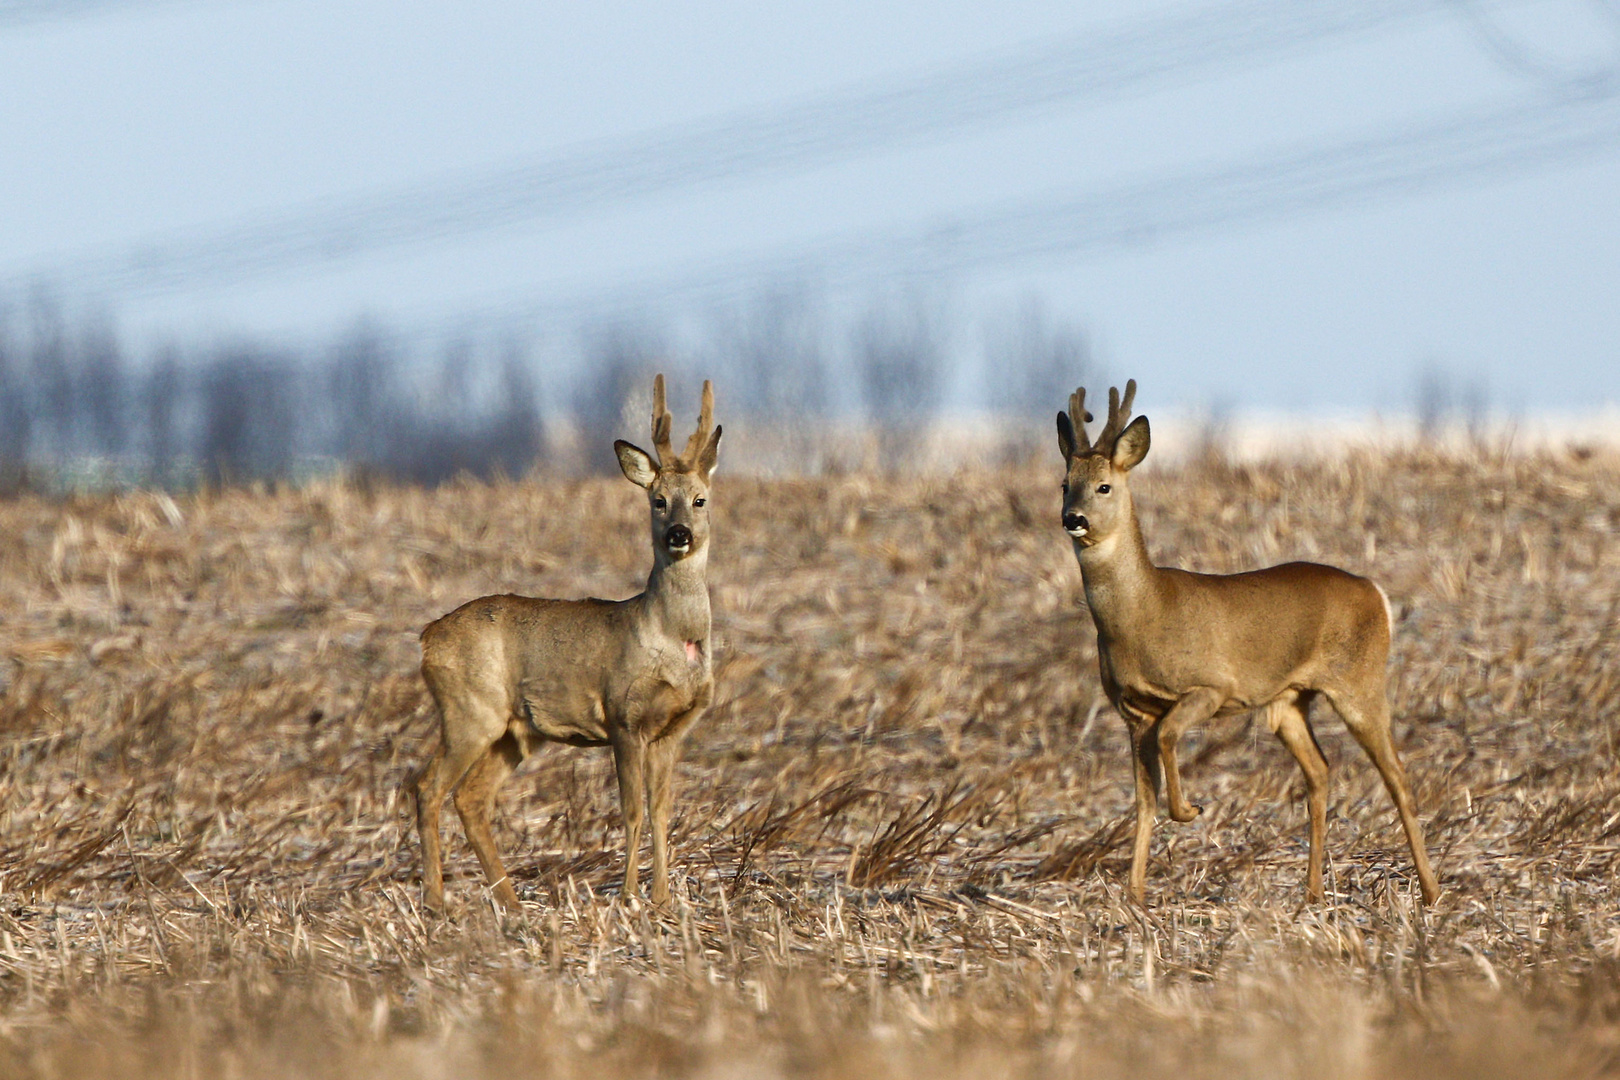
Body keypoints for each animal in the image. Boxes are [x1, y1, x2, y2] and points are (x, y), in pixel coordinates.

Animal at [411, 374, 722, 913]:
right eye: (658, 500)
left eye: (700, 498)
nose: (679, 534)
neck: (668, 636)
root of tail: (429, 637)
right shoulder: (623, 716)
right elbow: (632, 811)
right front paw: (629, 896)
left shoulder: (673, 728)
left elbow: (662, 811)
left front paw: (662, 899)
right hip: (470, 709)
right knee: (428, 787)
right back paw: (435, 901)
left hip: (515, 731)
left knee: (470, 798)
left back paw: (512, 904)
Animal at [1062, 380, 1445, 906]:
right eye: (1064, 483)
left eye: (1105, 486)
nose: (1072, 518)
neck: (1145, 613)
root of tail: (1377, 593)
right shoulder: (1133, 711)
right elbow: (1142, 800)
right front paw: (1135, 896)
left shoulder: (1211, 686)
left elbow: (1170, 740)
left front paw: (1192, 811)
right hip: (1289, 700)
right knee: (1320, 771)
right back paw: (1313, 894)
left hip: (1359, 681)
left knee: (1398, 776)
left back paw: (1431, 893)